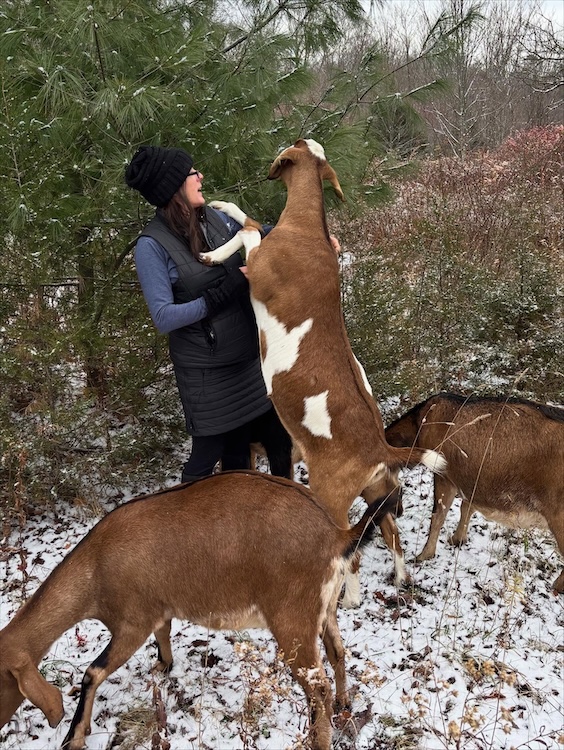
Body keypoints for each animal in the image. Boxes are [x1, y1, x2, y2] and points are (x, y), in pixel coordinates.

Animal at [0, 470, 401, 750]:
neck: (95, 568)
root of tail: (337, 535)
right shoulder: (159, 610)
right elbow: (163, 636)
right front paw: (163, 667)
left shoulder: (132, 622)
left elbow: (92, 673)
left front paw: (75, 736)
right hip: (324, 610)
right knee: (337, 653)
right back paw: (345, 704)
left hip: (292, 620)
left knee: (317, 688)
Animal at [200, 139, 445, 605]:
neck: (306, 229)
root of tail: (382, 449)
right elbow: (248, 218)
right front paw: (220, 204)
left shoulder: (259, 267)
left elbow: (249, 229)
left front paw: (212, 251)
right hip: (376, 491)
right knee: (388, 534)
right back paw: (397, 578)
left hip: (329, 495)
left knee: (348, 547)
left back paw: (346, 598)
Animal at [385, 392, 564, 593]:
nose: (397, 511)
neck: (421, 424)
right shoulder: (471, 481)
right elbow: (466, 507)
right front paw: (457, 539)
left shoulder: (445, 474)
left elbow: (438, 516)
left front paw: (424, 555)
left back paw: (556, 587)